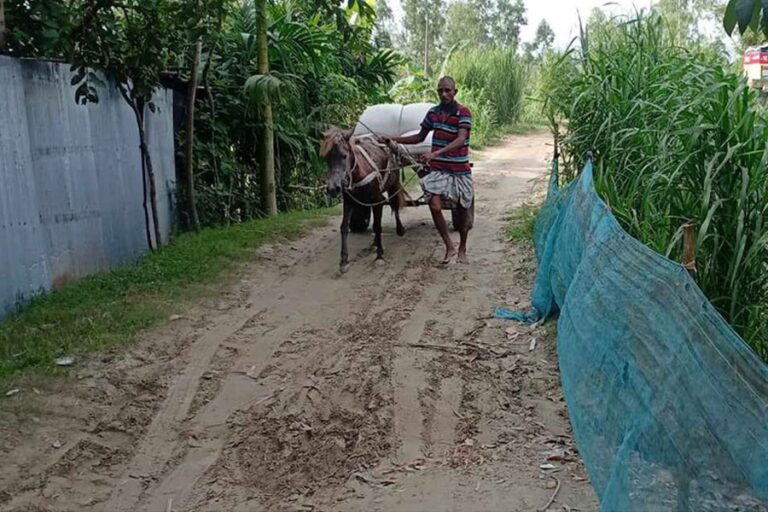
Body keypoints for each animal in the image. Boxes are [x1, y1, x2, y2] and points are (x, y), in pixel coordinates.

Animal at [320, 126, 408, 274]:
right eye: (327, 157)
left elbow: (377, 226)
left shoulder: (377, 199)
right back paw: (374, 242)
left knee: (394, 204)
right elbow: (344, 227)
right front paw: (344, 260)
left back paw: (399, 229)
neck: (359, 173)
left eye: (344, 155)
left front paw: (379, 256)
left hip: (393, 184)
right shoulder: (348, 201)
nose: (333, 188)